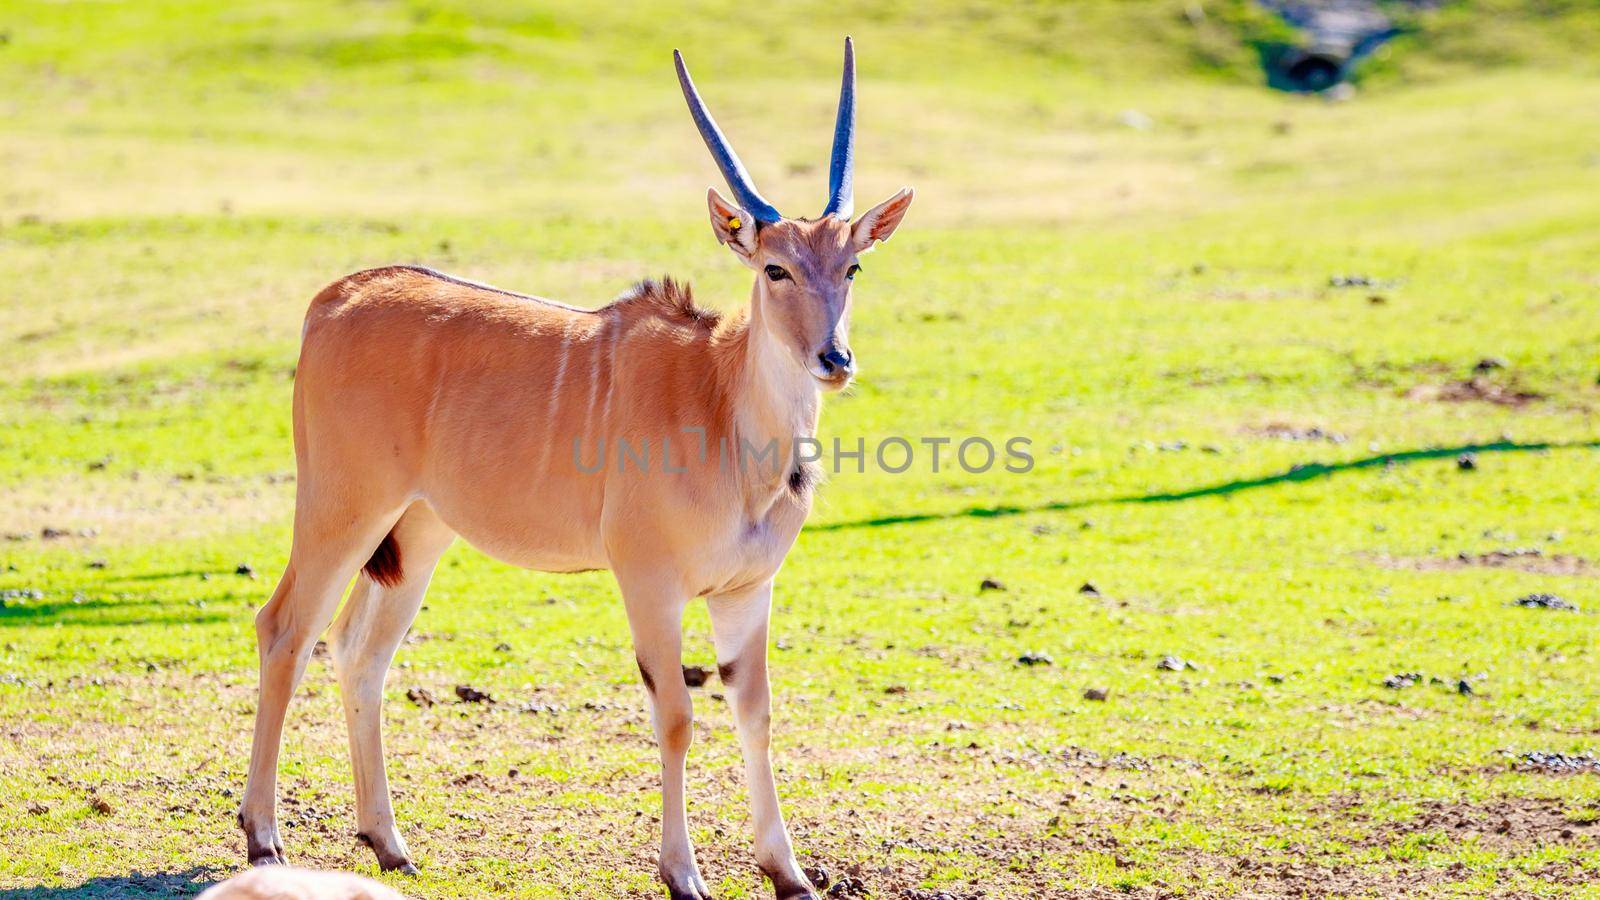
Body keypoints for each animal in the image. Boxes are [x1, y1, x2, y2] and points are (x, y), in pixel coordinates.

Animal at [235, 36, 915, 896]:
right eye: (775, 269)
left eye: (851, 267)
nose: (835, 359)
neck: (720, 402)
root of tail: (334, 299)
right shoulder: (649, 584)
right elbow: (677, 716)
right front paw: (682, 872)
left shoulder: (745, 592)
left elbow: (754, 713)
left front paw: (787, 870)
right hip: (341, 510)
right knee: (285, 628)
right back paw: (264, 838)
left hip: (416, 535)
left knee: (361, 651)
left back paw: (388, 842)